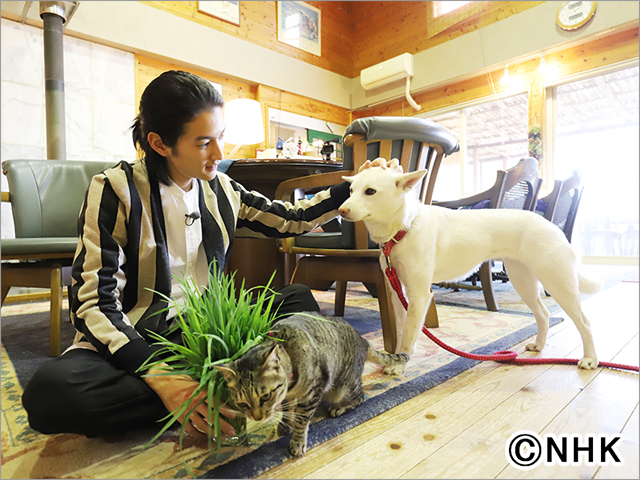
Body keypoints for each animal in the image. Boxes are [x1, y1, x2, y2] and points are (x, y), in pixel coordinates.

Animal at [212, 314, 408, 456]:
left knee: (360, 397)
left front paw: (297, 442)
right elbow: (286, 409)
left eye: (265, 396)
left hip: (342, 388)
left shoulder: (313, 392)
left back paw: (339, 408)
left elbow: (301, 421)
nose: (257, 418)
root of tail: (363, 340)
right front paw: (284, 424)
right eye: (242, 404)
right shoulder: (287, 396)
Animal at [338, 159, 604, 370]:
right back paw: (539, 345)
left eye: (370, 191)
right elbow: (404, 329)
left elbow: (409, 334)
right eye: (350, 190)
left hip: (558, 283)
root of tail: (553, 226)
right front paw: (394, 358)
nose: (341, 210)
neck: (404, 227)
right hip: (523, 280)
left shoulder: (420, 295)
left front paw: (399, 364)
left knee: (585, 322)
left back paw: (590, 359)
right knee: (544, 313)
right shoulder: (398, 291)